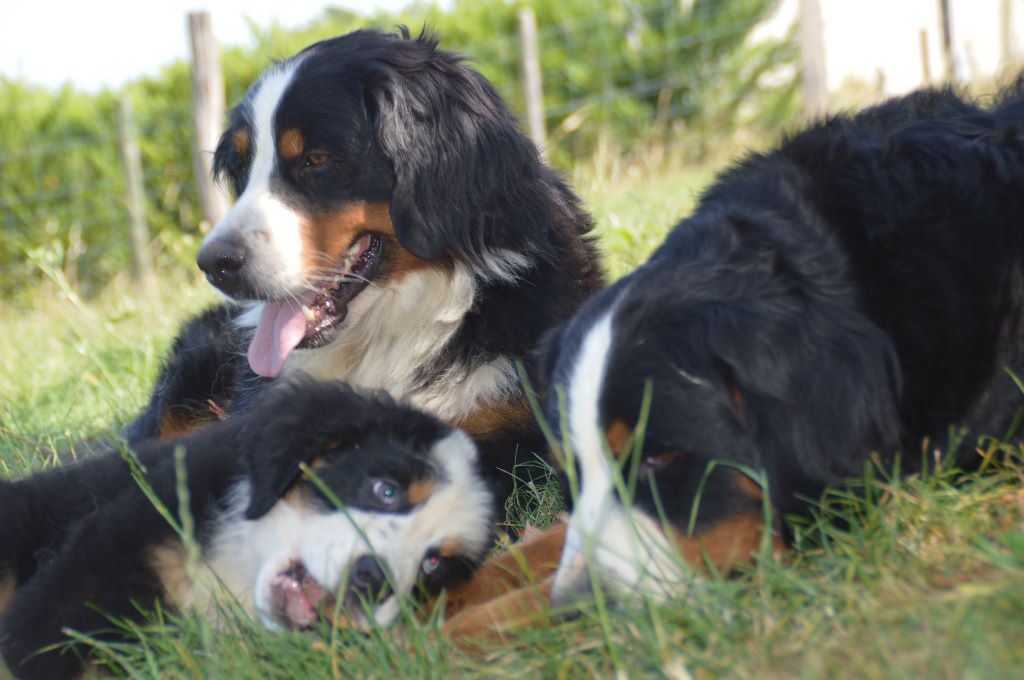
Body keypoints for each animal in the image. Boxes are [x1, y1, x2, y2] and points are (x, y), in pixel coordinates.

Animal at [0, 376, 495, 680]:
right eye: (386, 490)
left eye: (433, 564)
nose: (373, 581)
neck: (239, 567)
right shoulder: (105, 562)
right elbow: (47, 643)